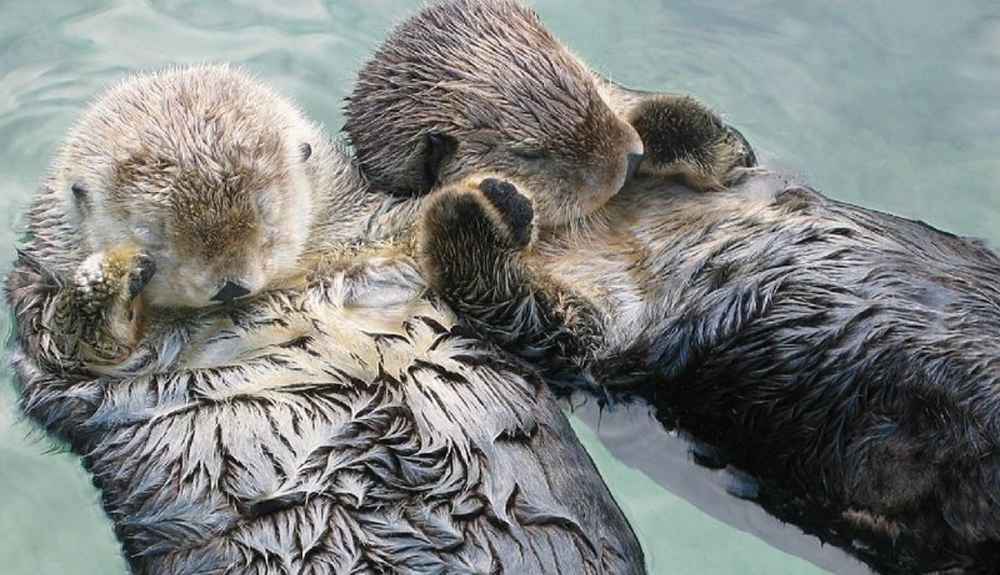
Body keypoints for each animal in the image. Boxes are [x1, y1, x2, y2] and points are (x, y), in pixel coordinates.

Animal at [3, 65, 644, 572]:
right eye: (154, 237)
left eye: (267, 214)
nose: (230, 285)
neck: (286, 291)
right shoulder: (50, 333)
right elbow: (73, 347)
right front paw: (109, 273)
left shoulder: (377, 239)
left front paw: (493, 197)